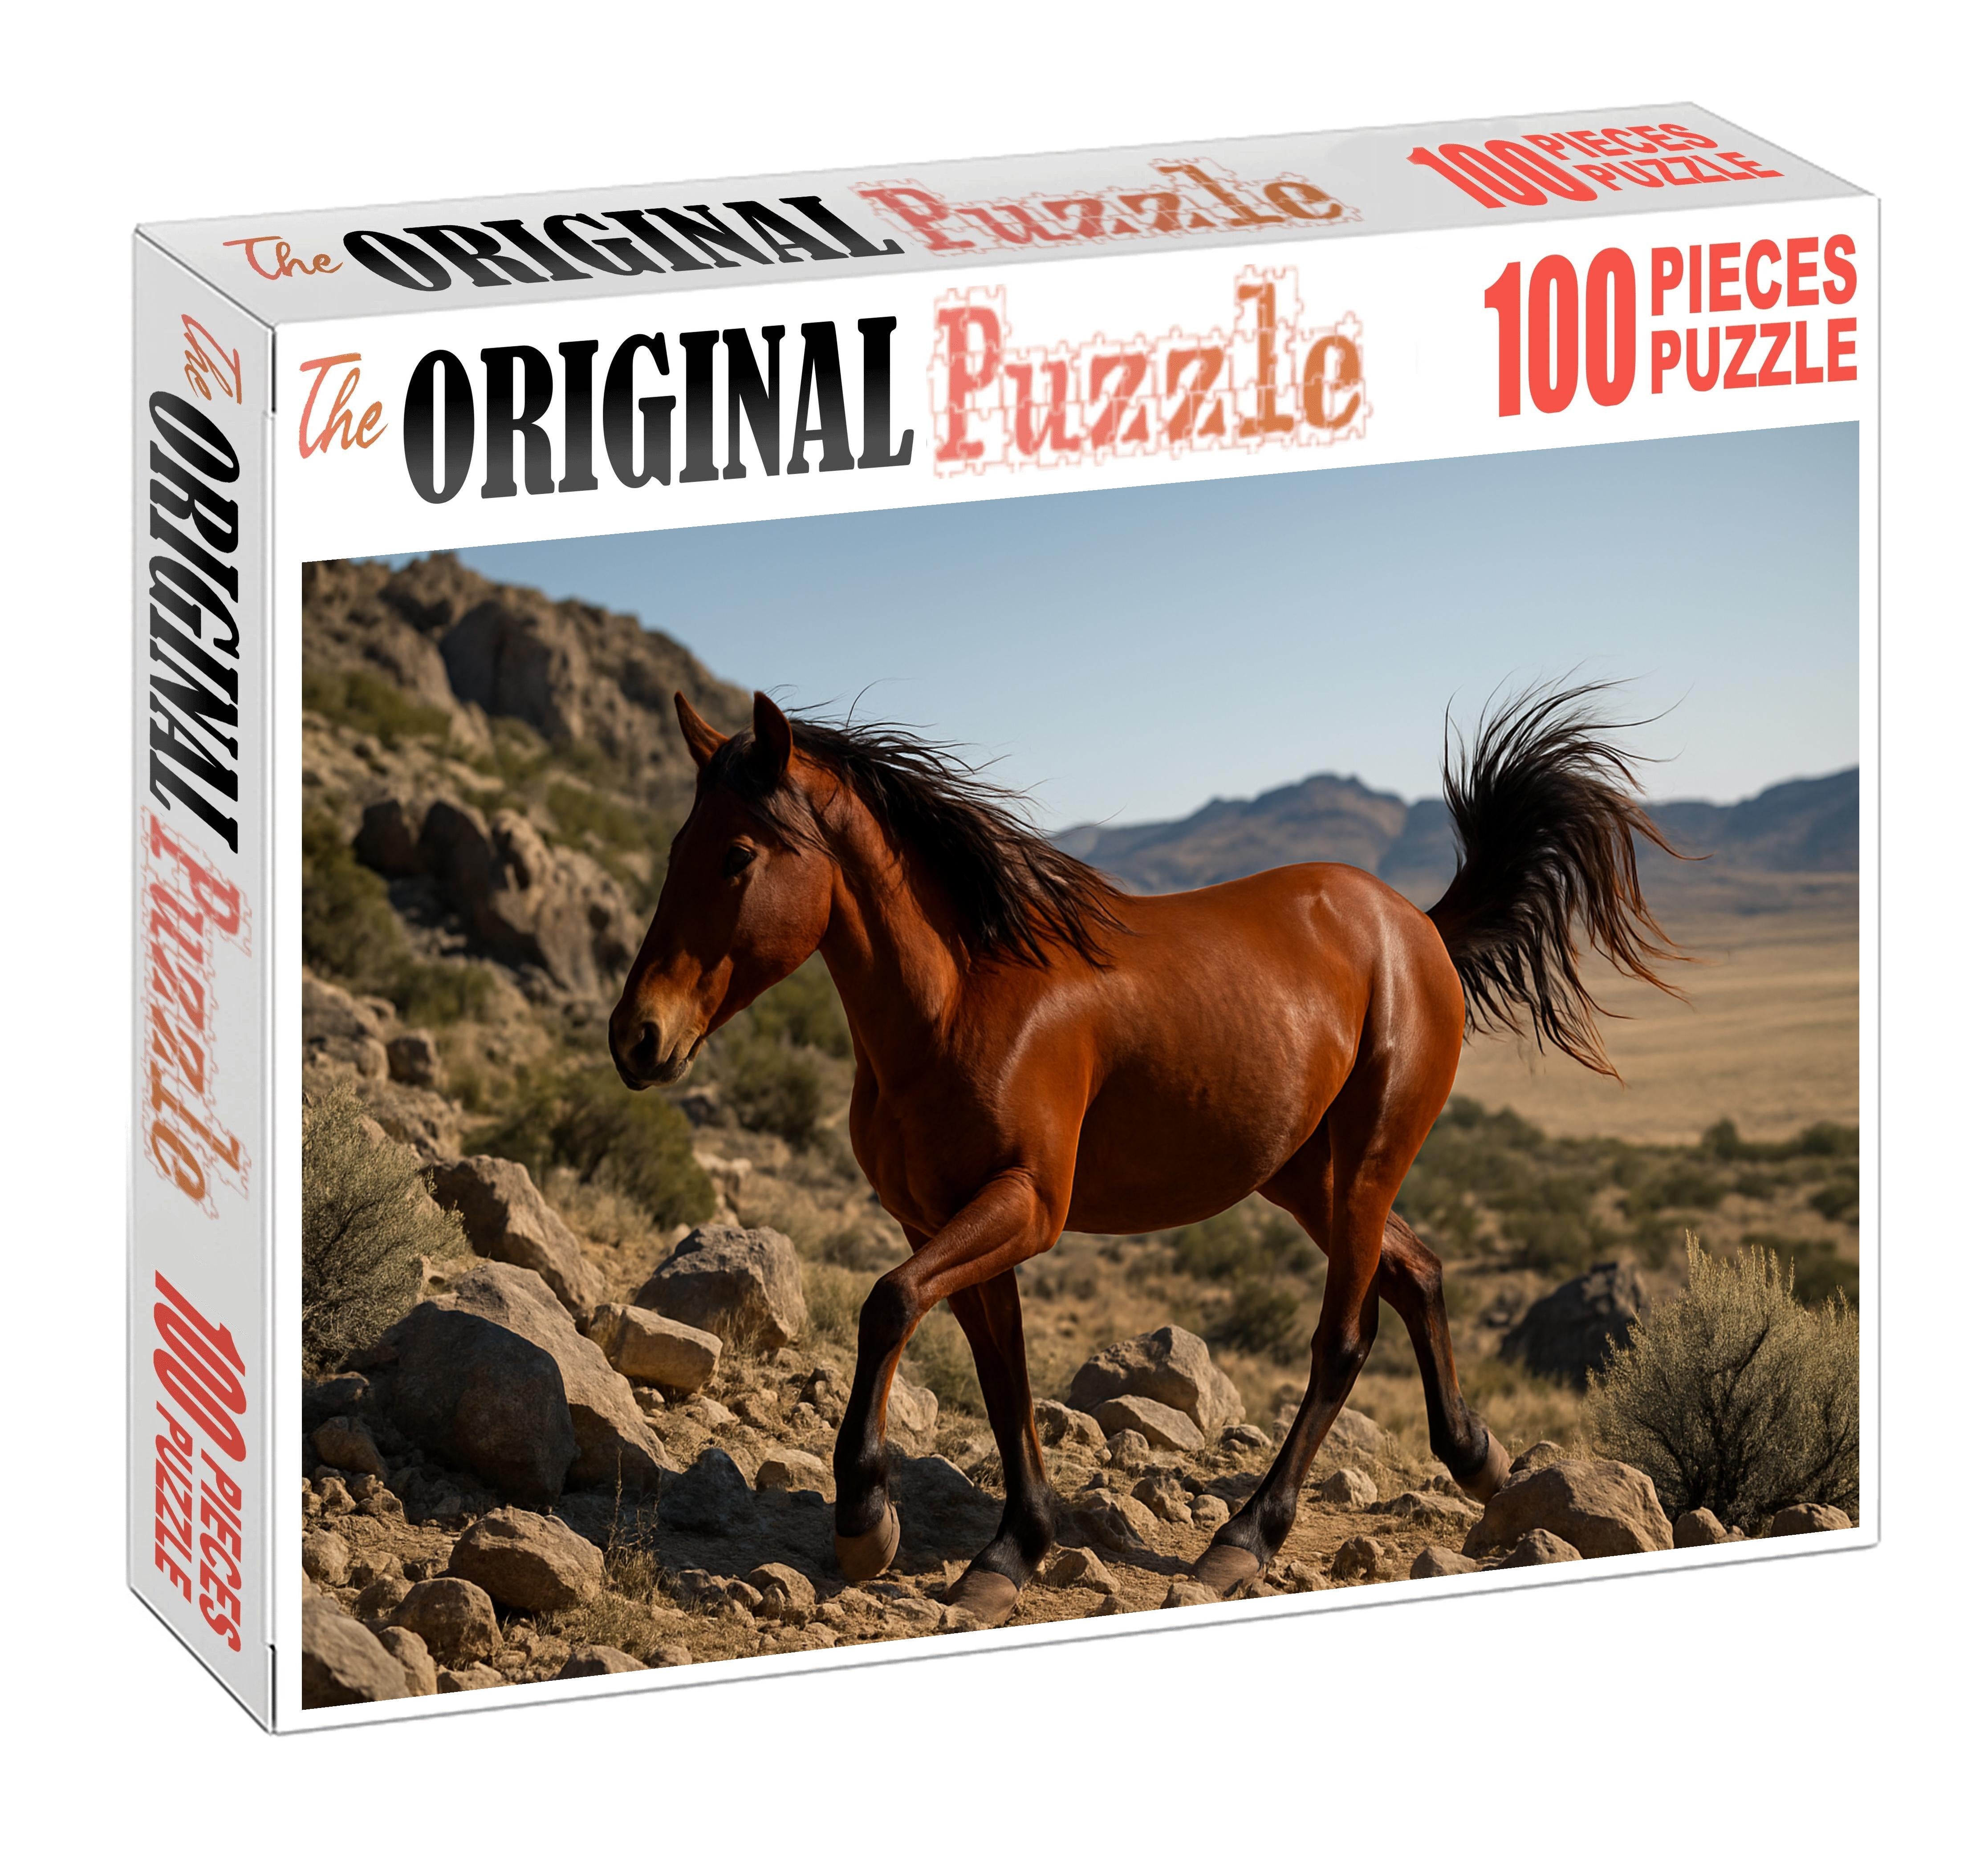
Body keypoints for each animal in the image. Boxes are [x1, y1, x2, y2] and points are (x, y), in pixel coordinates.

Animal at [610, 683, 1682, 1623]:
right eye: (675, 848)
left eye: (737, 855)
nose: (637, 1038)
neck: (962, 1002)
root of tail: (1416, 923)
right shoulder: (944, 1219)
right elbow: (999, 1373)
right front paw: (1008, 1555)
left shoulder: (1024, 1206)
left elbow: (887, 1307)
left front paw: (868, 1521)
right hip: (1307, 1175)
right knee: (1416, 1269)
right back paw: (1478, 1458)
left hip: (1370, 1159)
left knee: (1344, 1339)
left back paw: (1243, 1542)